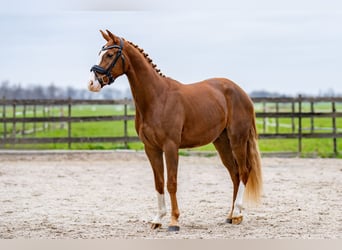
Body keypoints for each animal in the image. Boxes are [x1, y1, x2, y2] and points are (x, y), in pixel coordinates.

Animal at [88, 30, 262, 231]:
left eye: (109, 54)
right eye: (100, 53)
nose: (92, 83)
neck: (157, 98)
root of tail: (241, 93)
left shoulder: (170, 146)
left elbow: (171, 182)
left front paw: (174, 221)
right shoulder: (151, 148)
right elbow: (159, 182)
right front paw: (157, 219)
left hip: (237, 139)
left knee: (244, 171)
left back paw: (238, 214)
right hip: (222, 142)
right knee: (234, 174)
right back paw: (230, 215)